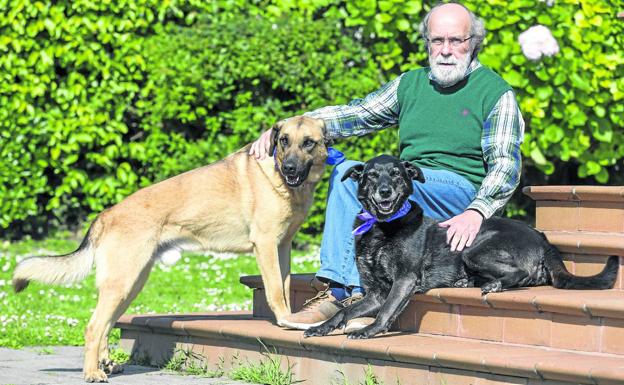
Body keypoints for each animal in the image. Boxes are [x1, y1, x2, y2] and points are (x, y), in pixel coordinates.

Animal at [12, 115, 330, 380]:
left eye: (308, 142)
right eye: (283, 140)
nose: (289, 168)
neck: (278, 178)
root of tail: (105, 215)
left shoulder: (282, 247)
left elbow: (284, 289)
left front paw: (291, 320)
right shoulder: (265, 245)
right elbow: (276, 291)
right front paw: (285, 322)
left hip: (130, 285)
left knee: (105, 326)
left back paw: (107, 364)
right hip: (122, 283)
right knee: (93, 328)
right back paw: (92, 372)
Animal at [304, 154, 620, 338]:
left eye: (396, 174)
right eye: (370, 175)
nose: (385, 191)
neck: (382, 226)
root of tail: (542, 237)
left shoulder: (404, 280)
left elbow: (386, 311)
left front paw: (370, 330)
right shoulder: (376, 292)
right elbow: (342, 312)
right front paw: (322, 327)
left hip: (472, 249)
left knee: (520, 274)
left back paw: (493, 285)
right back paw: (466, 282)